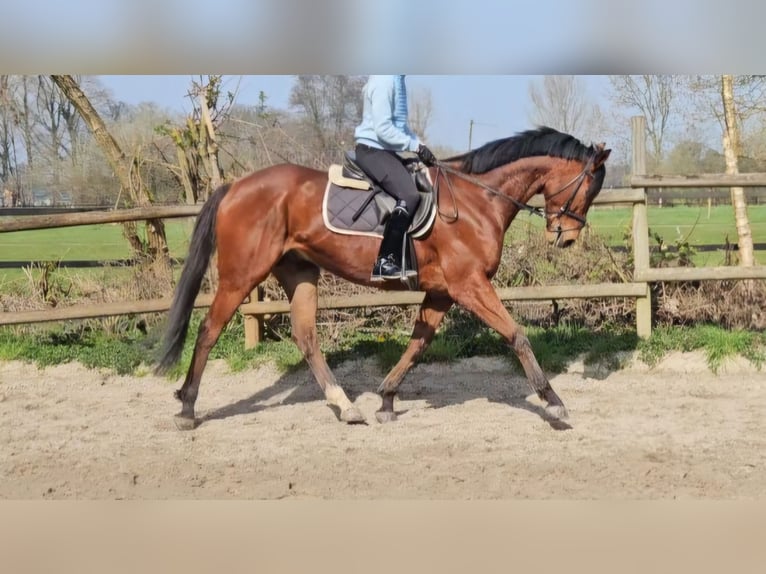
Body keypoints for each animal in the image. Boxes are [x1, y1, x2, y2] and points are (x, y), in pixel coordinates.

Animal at [155, 126, 611, 430]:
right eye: (589, 186)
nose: (567, 237)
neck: (476, 199)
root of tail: (235, 187)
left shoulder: (443, 292)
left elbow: (417, 345)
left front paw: (387, 400)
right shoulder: (469, 285)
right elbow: (516, 335)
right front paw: (553, 402)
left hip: (299, 272)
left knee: (307, 338)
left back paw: (346, 407)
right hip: (241, 275)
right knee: (209, 330)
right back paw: (187, 408)